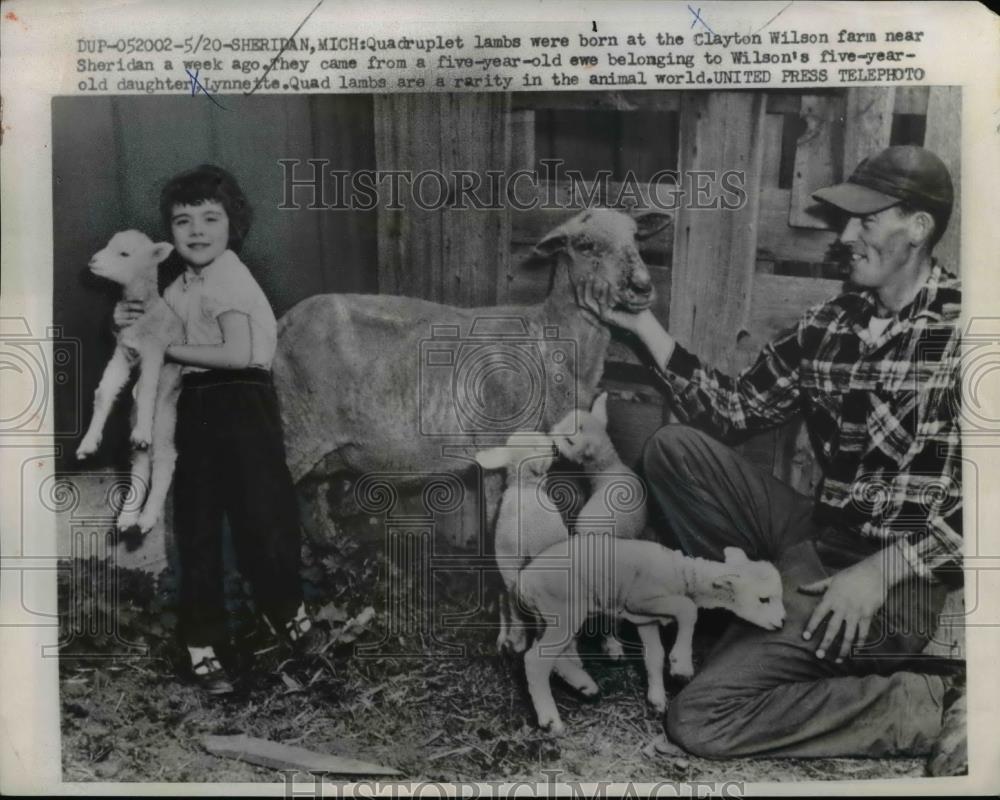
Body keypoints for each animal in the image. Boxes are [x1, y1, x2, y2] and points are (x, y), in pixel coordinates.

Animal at [75, 228, 185, 536]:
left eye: (124, 254)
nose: (93, 261)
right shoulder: (123, 353)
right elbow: (104, 392)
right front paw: (88, 443)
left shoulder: (155, 352)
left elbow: (146, 389)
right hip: (135, 419)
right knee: (141, 464)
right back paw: (128, 516)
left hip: (166, 411)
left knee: (164, 458)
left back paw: (147, 517)